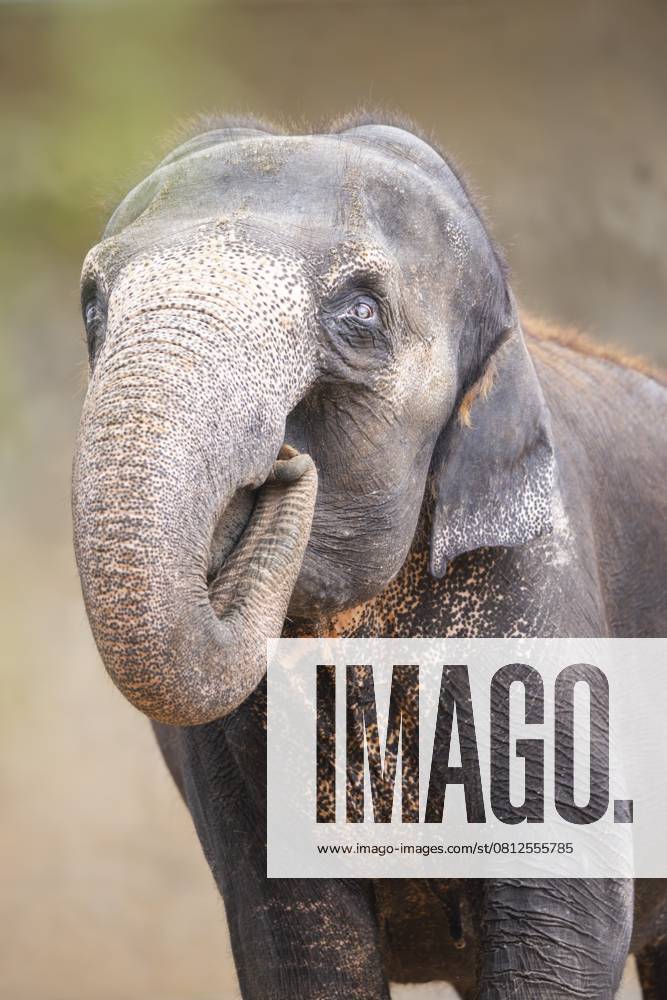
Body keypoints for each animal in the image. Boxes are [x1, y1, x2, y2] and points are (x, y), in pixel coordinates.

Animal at [72, 113, 667, 999]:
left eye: (359, 311)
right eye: (92, 307)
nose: (284, 464)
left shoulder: (541, 599)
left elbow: (561, 931)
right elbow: (298, 942)